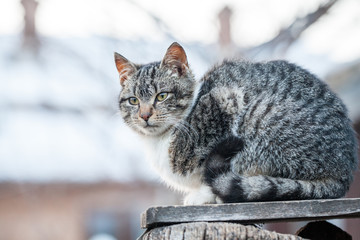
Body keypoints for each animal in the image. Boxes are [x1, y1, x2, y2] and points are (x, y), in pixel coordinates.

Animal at [114, 41, 358, 204]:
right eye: (133, 101)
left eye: (162, 96)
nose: (144, 115)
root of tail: (344, 171)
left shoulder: (226, 100)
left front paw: (205, 194)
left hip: (260, 118)